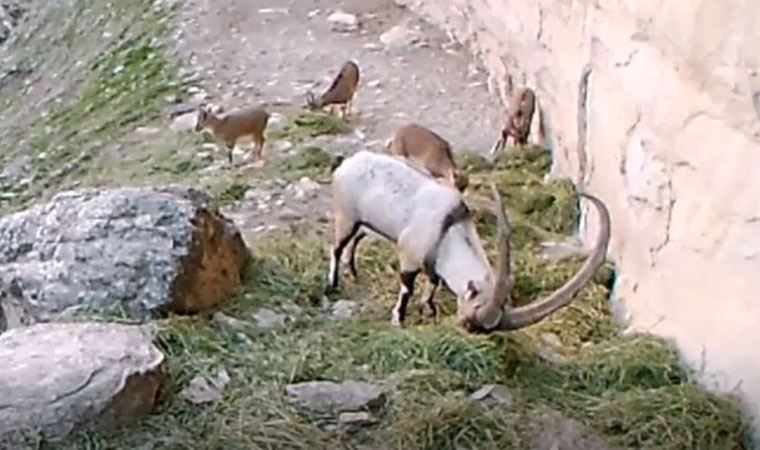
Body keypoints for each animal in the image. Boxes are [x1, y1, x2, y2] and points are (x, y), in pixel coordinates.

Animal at [326, 151, 612, 330]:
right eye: (474, 311)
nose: (464, 327)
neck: (448, 227)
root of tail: (347, 163)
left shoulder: (432, 264)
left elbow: (433, 284)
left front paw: (429, 309)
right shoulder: (410, 255)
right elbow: (407, 288)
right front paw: (399, 319)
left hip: (366, 223)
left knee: (356, 240)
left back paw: (353, 271)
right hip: (346, 216)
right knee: (337, 247)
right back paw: (332, 284)